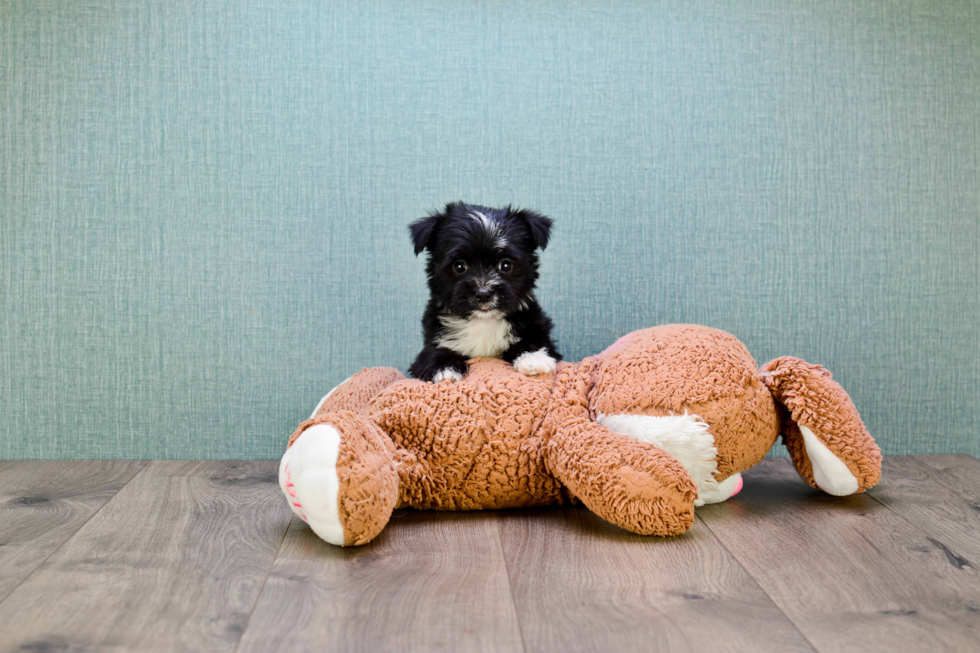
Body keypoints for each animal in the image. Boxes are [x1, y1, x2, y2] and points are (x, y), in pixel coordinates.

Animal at [406, 200, 564, 382]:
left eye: (505, 265)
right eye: (459, 266)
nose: (483, 293)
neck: (483, 321)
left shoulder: (534, 324)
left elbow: (532, 340)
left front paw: (533, 358)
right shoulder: (434, 338)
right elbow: (435, 350)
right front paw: (443, 368)